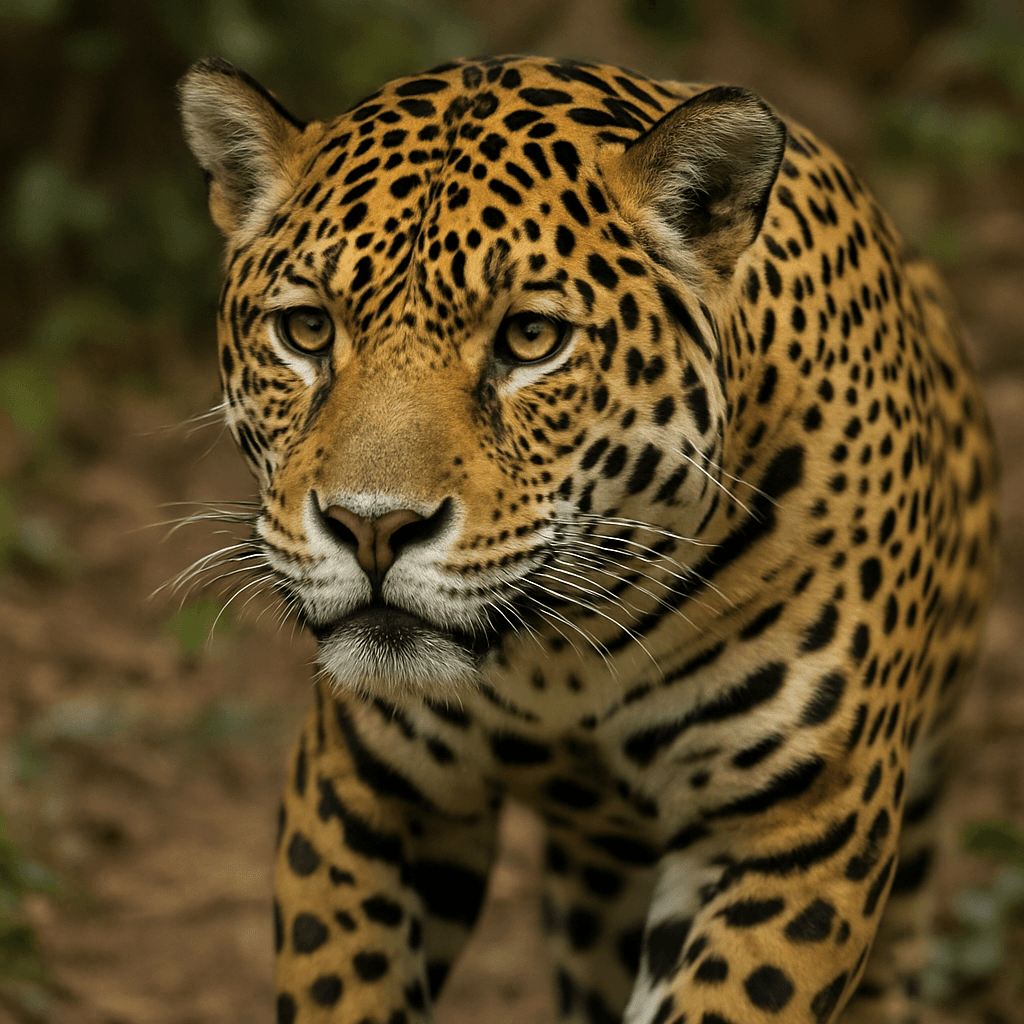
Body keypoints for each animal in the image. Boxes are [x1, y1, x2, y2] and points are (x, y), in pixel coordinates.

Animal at [177, 53, 998, 1024]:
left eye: (531, 338)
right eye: (306, 330)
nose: (372, 527)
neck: (564, 652)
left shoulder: (797, 825)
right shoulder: (364, 785)